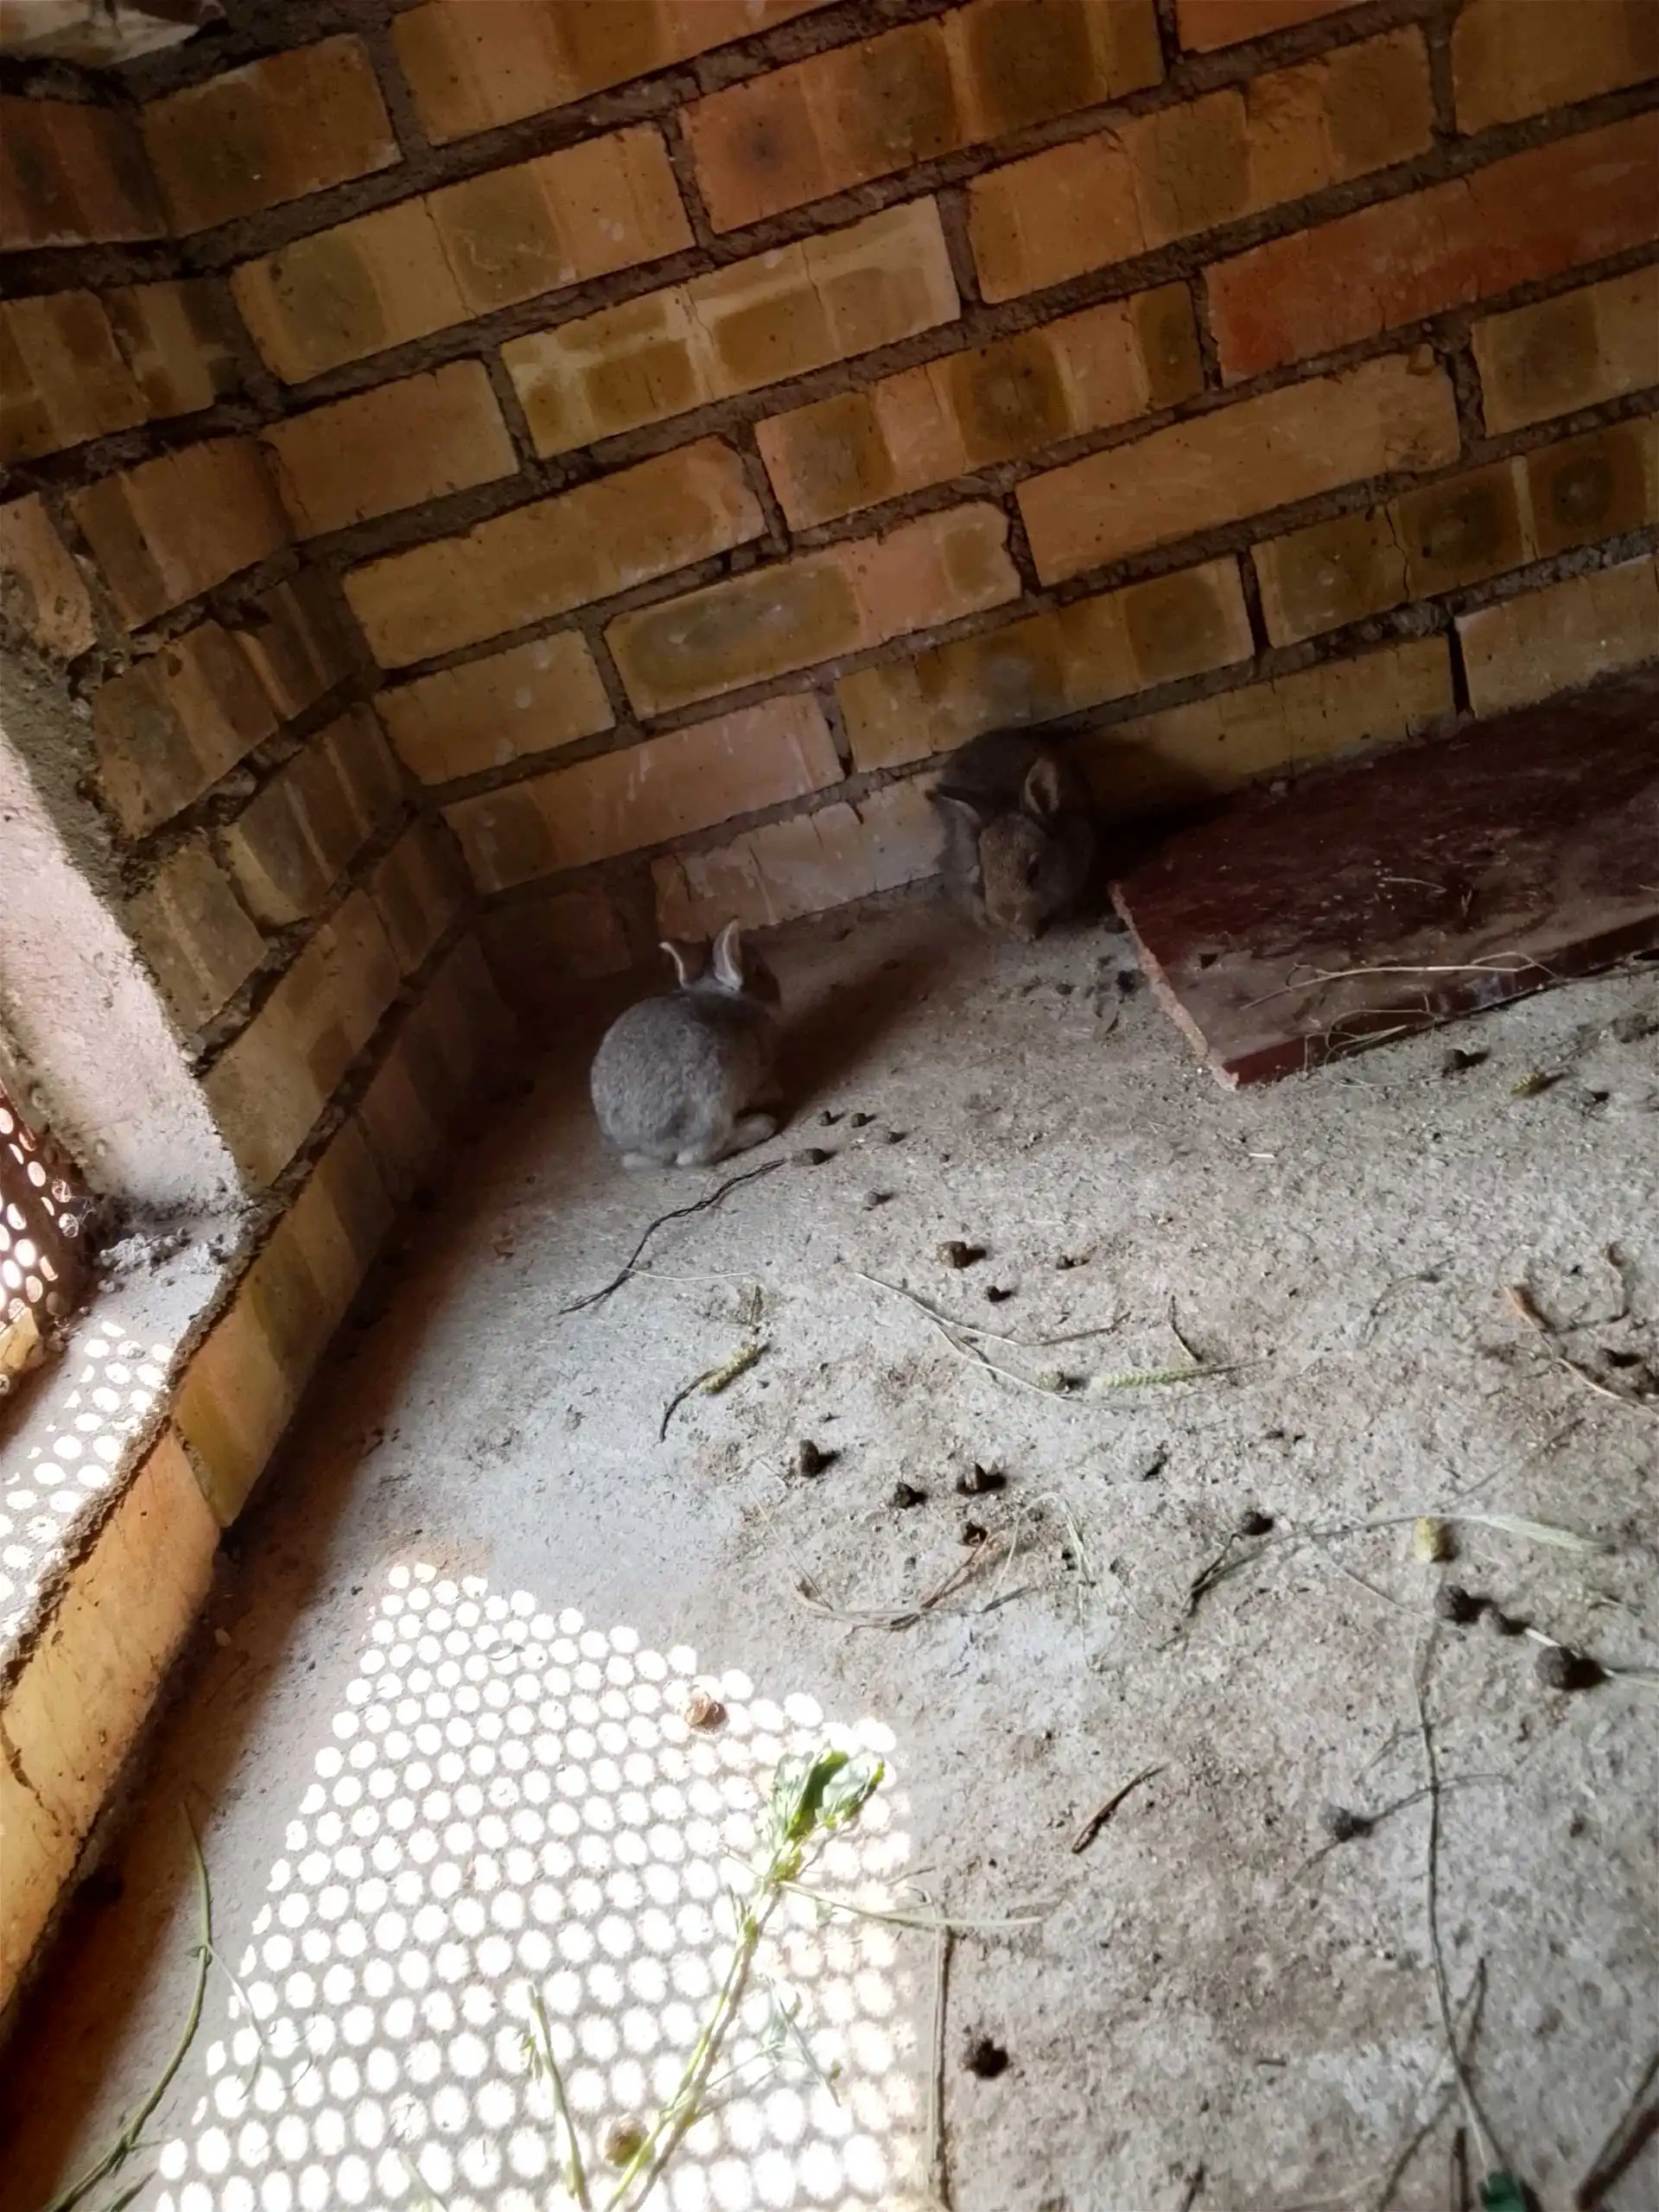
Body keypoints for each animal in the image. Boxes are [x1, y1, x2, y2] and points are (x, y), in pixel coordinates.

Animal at [590, 921, 784, 1168]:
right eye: (759, 970)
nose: (776, 990)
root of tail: (648, 1143)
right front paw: (776, 1094)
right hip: (713, 1106)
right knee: (692, 1158)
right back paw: (760, 1126)